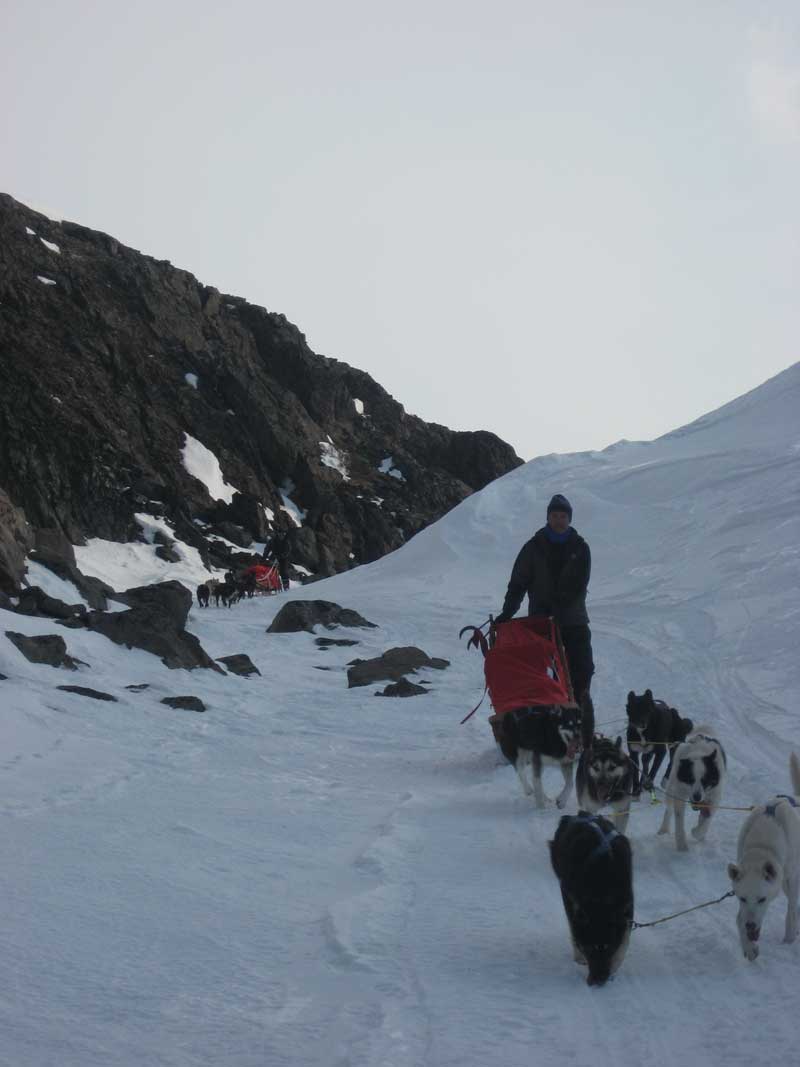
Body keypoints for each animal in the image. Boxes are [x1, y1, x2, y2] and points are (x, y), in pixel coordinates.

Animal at [550, 810, 635, 985]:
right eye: (588, 948)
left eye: (608, 946)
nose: (597, 981)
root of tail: (581, 815)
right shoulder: (572, 898)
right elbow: (574, 929)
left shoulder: (626, 906)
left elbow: (624, 942)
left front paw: (614, 967)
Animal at [729, 751, 800, 968]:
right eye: (742, 898)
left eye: (762, 899)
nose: (751, 927)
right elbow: (739, 918)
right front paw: (749, 947)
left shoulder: (791, 879)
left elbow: (791, 910)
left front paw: (789, 938)